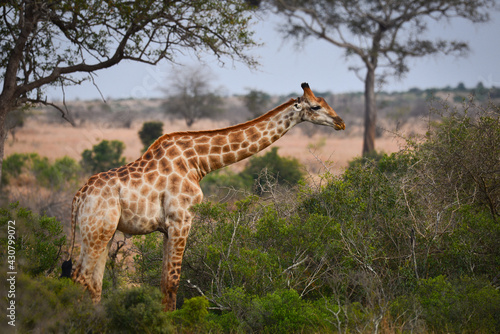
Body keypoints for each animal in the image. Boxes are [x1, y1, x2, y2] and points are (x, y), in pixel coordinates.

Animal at [67, 83, 344, 310]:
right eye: (316, 106)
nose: (340, 122)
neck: (199, 162)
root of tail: (79, 197)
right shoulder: (181, 219)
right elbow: (172, 282)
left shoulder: (168, 227)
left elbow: (164, 282)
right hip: (97, 230)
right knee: (81, 278)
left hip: (103, 232)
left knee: (92, 282)